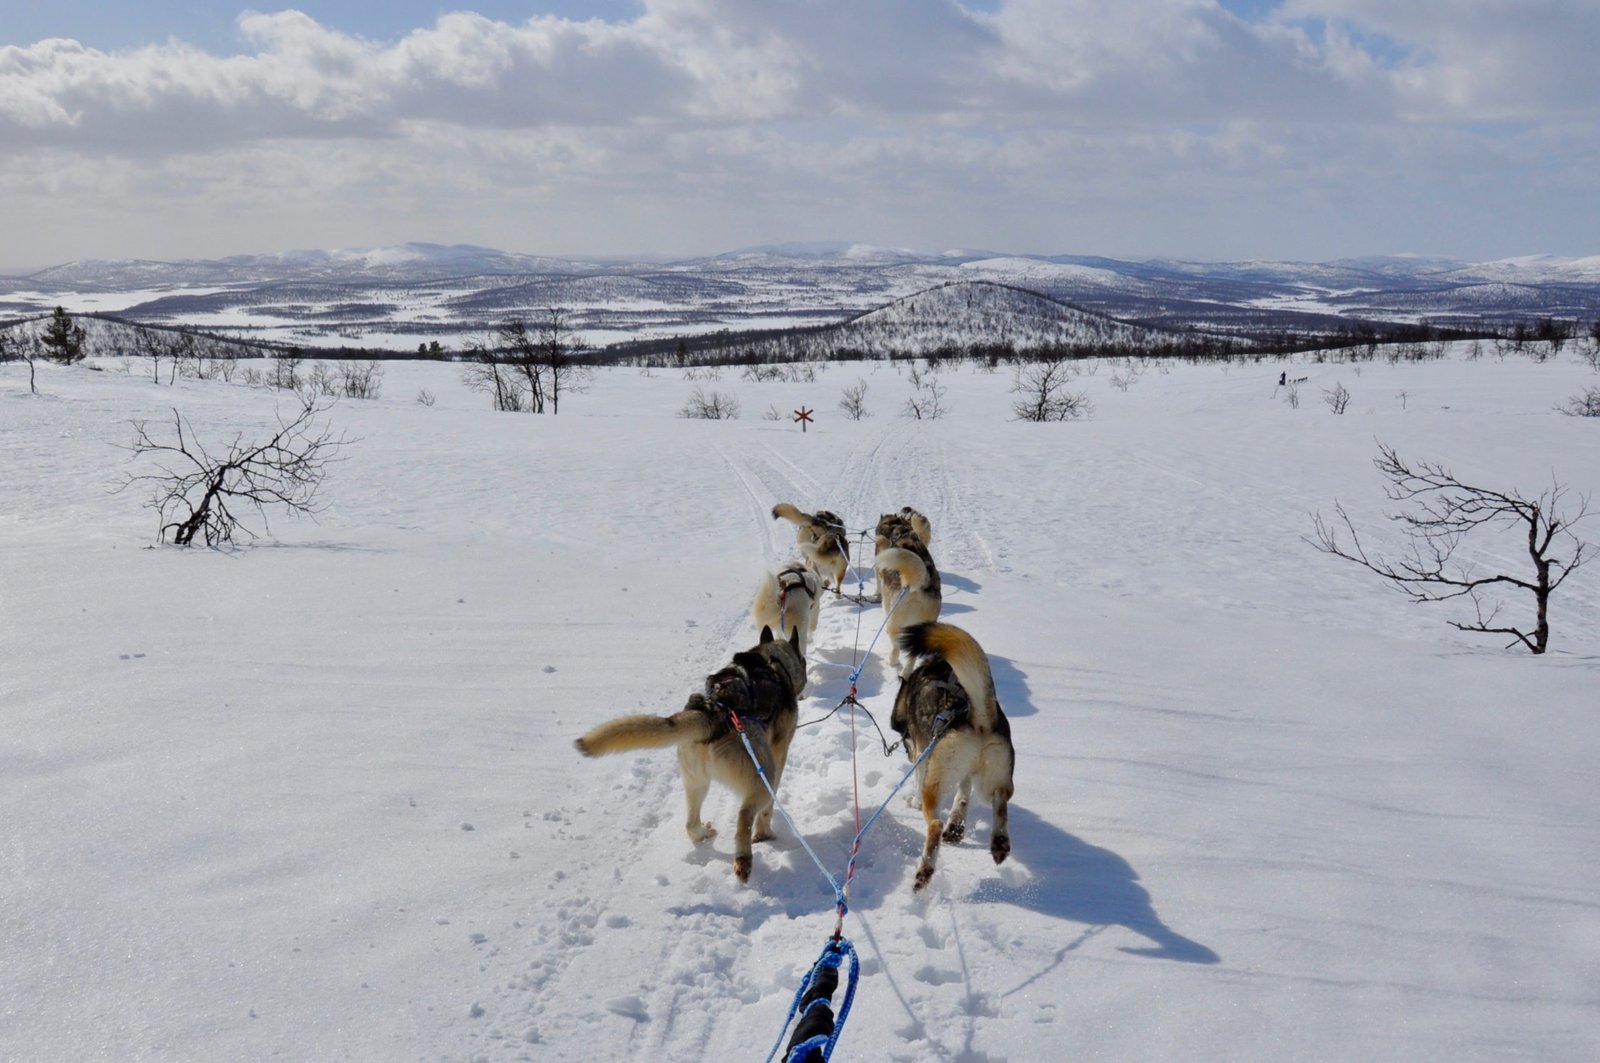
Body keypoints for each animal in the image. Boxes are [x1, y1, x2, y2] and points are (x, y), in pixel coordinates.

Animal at [576, 627, 806, 883]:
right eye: (804, 661)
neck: (772, 661)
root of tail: (713, 711)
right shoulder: (779, 756)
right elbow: (767, 811)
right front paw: (765, 834)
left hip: (696, 783)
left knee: (690, 824)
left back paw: (704, 834)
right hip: (761, 776)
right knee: (743, 817)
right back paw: (743, 860)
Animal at [889, 624, 1011, 890]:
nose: (906, 751)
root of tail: (977, 718)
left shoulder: (921, 755)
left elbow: (918, 780)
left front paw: (913, 801)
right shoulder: (965, 774)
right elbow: (963, 795)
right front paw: (957, 825)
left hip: (936, 784)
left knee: (934, 824)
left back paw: (924, 872)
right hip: (994, 779)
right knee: (1000, 803)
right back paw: (998, 842)